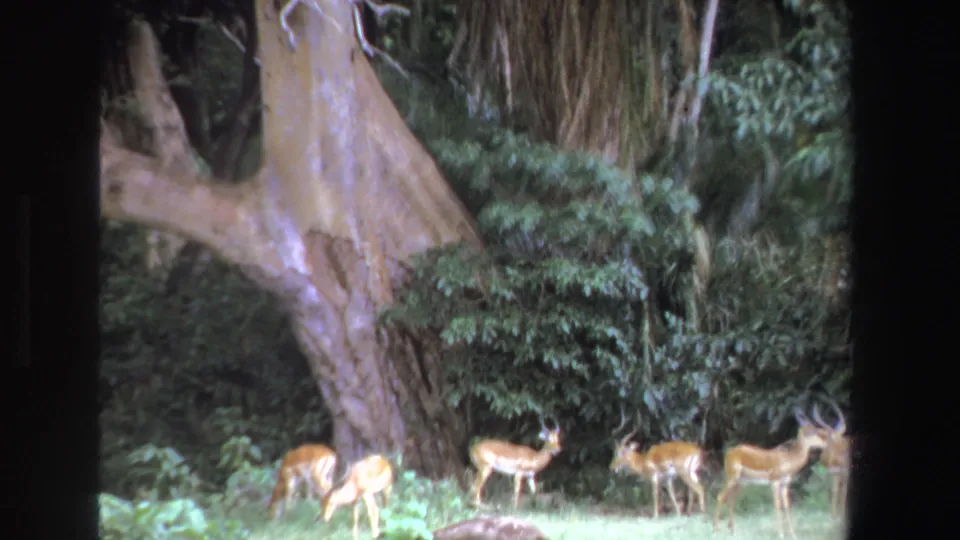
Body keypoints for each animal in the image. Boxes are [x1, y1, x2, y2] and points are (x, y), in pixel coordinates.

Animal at [713, 408, 828, 539]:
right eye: (812, 431)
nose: (825, 442)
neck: (787, 459)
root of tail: (730, 452)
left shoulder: (784, 484)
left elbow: (786, 506)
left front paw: (793, 534)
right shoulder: (774, 482)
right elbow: (777, 505)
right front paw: (781, 534)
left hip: (741, 482)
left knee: (731, 499)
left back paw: (732, 531)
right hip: (732, 478)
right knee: (720, 496)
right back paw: (715, 530)